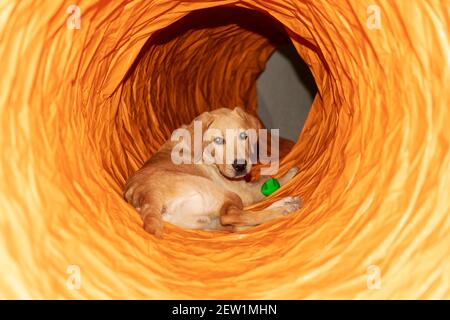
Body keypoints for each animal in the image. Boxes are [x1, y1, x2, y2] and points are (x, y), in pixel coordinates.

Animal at [124, 107, 298, 235]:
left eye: (244, 136)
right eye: (218, 140)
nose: (240, 166)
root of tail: (147, 194)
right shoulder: (245, 192)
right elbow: (264, 182)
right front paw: (290, 172)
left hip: (206, 220)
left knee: (237, 223)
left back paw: (284, 203)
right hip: (223, 193)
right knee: (231, 216)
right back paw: (283, 209)